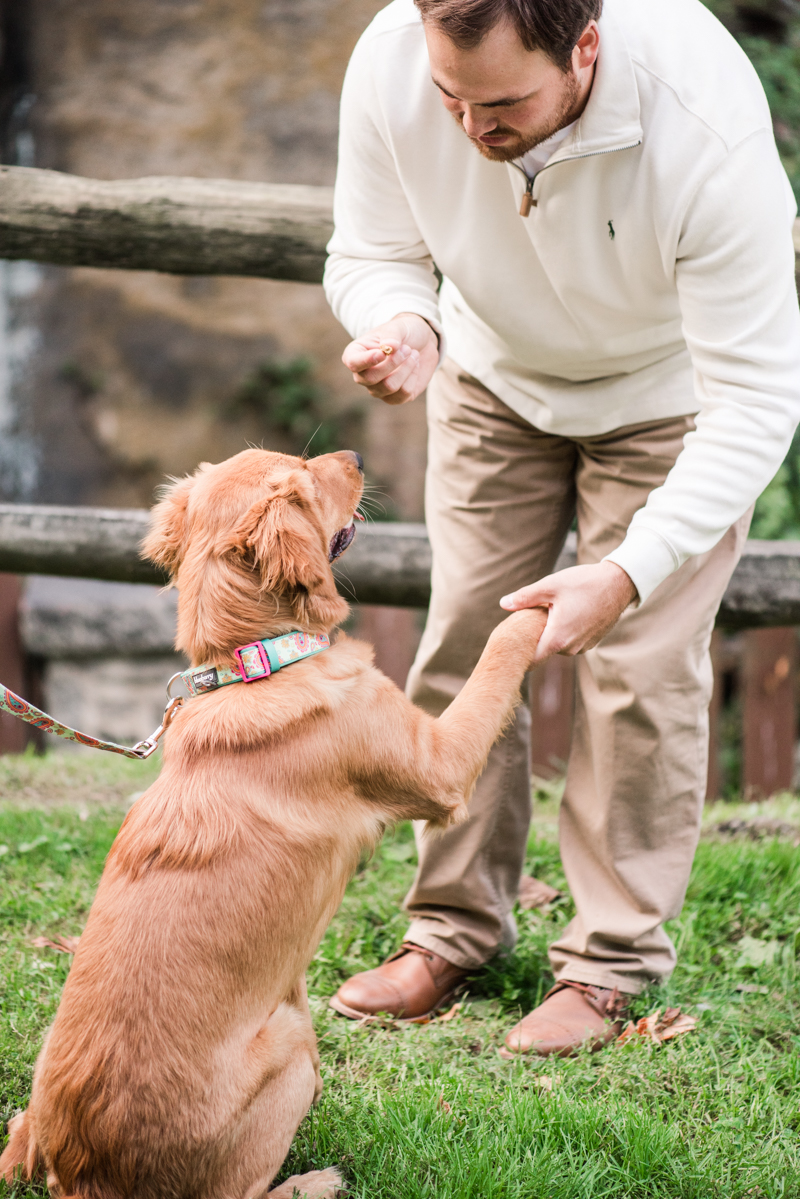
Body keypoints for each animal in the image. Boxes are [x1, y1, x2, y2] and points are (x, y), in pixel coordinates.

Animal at [0, 446, 546, 1194]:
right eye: (308, 479)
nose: (356, 455)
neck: (255, 666)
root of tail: (80, 1173)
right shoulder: (442, 765)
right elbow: (499, 648)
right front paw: (547, 600)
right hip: (293, 1042)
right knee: (250, 1186)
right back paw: (317, 1180)